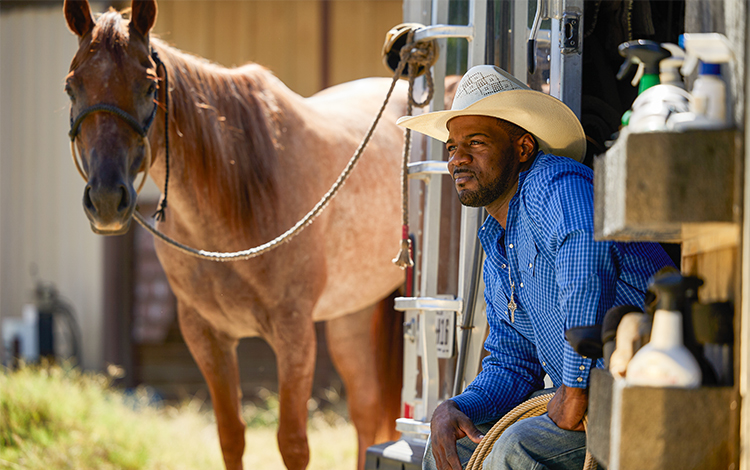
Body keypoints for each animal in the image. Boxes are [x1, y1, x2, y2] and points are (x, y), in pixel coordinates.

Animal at [63, 1, 412, 468]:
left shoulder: (295, 334)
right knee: (366, 411)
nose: (105, 199)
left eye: (149, 86)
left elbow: (292, 443)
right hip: (350, 315)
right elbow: (231, 435)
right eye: (72, 88)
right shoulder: (207, 335)